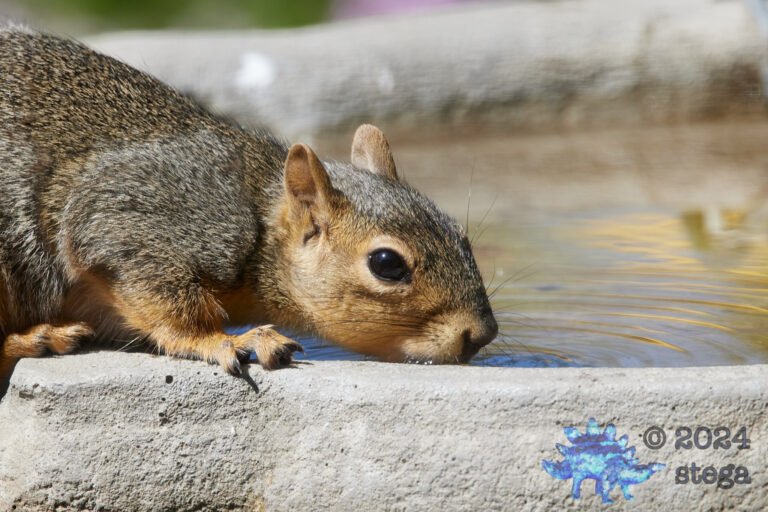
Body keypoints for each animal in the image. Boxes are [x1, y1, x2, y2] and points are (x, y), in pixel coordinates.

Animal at [0, 26, 497, 385]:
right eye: (386, 263)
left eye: (462, 236)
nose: (481, 335)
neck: (259, 219)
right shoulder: (132, 215)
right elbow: (164, 298)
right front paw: (224, 340)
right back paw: (40, 337)